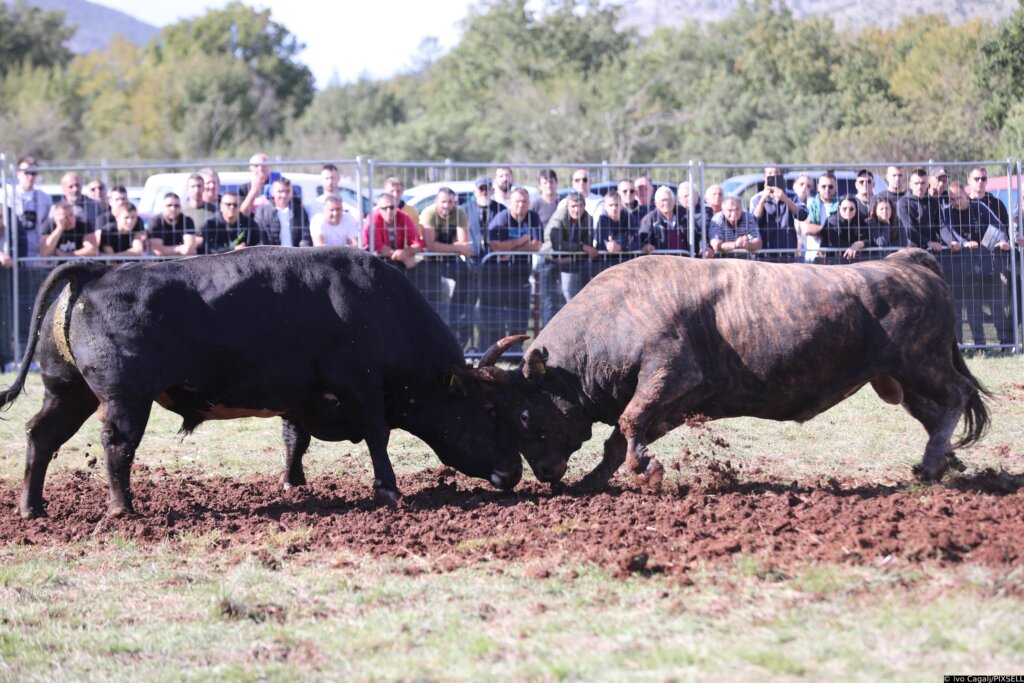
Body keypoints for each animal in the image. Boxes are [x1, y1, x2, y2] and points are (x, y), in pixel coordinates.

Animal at [2, 245, 520, 518]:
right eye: (491, 410)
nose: (515, 472)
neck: (375, 304)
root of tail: (96, 272)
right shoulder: (362, 385)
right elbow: (378, 435)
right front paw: (389, 489)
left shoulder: (300, 397)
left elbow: (295, 438)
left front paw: (293, 483)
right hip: (126, 398)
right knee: (117, 447)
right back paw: (122, 508)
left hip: (67, 392)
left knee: (40, 436)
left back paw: (32, 508)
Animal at [487, 248, 991, 489]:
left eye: (525, 414)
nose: (544, 472)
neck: (616, 315)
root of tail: (908, 262)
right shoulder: (675, 404)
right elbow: (620, 438)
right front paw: (594, 481)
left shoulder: (670, 375)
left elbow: (629, 422)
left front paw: (646, 470)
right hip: (901, 381)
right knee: (934, 413)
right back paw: (946, 459)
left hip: (921, 364)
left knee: (957, 395)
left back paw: (932, 464)